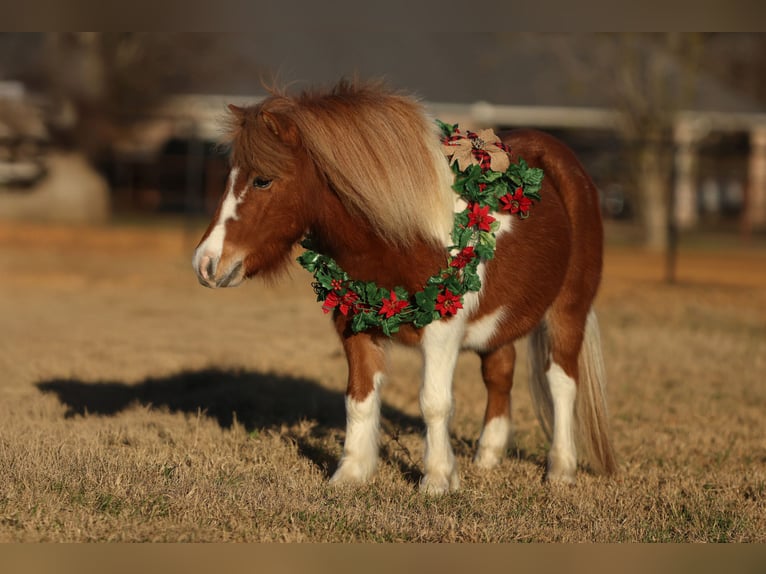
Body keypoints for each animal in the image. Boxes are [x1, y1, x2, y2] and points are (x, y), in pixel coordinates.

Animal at [193, 80, 617, 494]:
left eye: (263, 179)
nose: (205, 263)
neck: (404, 236)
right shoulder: (355, 324)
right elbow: (359, 398)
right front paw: (351, 473)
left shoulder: (443, 330)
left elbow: (434, 402)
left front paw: (438, 479)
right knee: (500, 372)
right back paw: (488, 456)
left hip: (569, 311)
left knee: (562, 383)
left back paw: (561, 469)